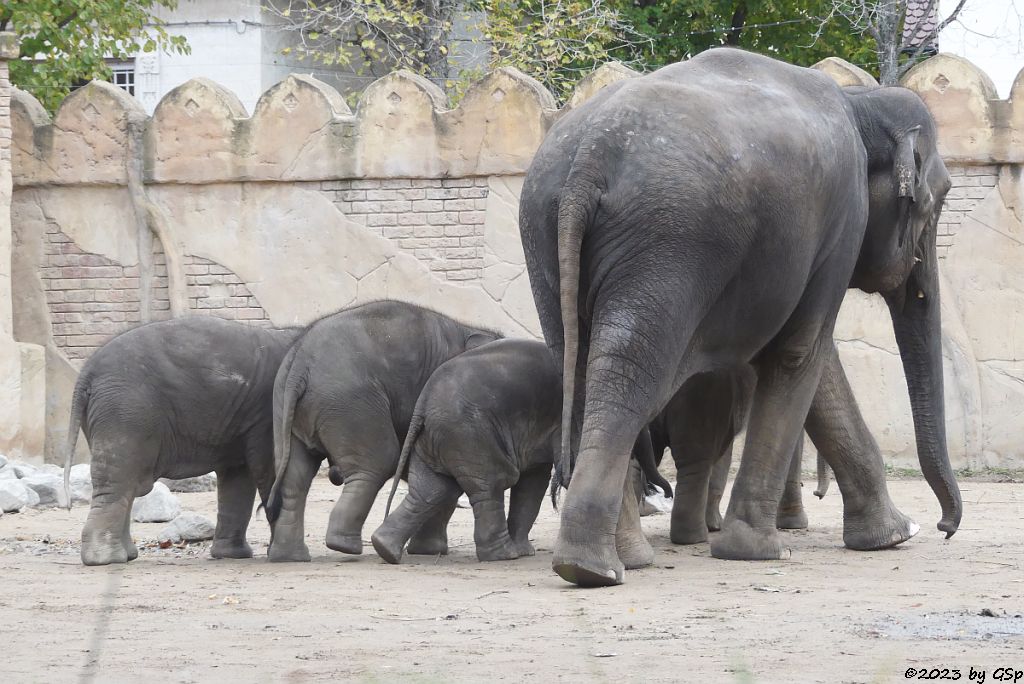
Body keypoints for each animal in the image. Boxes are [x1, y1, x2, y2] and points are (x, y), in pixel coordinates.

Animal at [65, 315, 299, 565]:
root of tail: (86, 373)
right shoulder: (268, 413)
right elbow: (268, 467)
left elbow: (238, 475)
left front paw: (232, 556)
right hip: (125, 411)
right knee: (119, 477)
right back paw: (105, 559)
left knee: (128, 481)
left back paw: (126, 555)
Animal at [266, 298, 501, 561]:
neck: (469, 329)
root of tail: (300, 363)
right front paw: (431, 551)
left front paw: (427, 551)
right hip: (351, 402)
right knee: (379, 462)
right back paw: (344, 546)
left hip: (286, 406)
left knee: (294, 476)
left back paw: (290, 556)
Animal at [370, 337, 557, 565]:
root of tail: (423, 403)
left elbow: (534, 478)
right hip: (468, 434)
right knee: (493, 482)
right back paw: (503, 556)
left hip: (437, 438)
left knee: (432, 488)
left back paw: (384, 548)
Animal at [520, 46, 958, 589]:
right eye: (934, 201)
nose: (944, 527)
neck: (862, 101)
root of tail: (588, 159)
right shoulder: (842, 219)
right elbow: (800, 351)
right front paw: (761, 551)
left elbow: (811, 360)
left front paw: (890, 536)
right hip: (672, 240)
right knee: (630, 374)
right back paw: (596, 568)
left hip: (546, 232)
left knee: (579, 367)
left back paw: (618, 561)